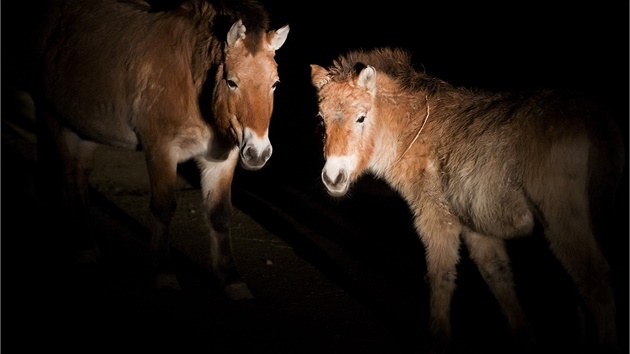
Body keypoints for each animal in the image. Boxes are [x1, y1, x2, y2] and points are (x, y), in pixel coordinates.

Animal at [35, 0, 292, 298]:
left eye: (275, 84)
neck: (191, 81)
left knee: (79, 175)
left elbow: (219, 214)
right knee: (68, 172)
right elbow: (163, 207)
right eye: (232, 81)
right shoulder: (161, 150)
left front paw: (230, 278)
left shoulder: (221, 158)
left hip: (84, 126)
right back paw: (83, 247)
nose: (258, 153)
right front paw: (164, 273)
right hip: (52, 116)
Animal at [312, 47, 628, 354]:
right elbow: (498, 275)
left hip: (563, 222)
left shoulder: (435, 218)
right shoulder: (476, 226)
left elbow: (440, 276)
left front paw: (438, 341)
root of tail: (594, 116)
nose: (332, 178)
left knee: (595, 282)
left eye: (361, 117)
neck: (416, 129)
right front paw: (524, 339)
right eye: (321, 119)